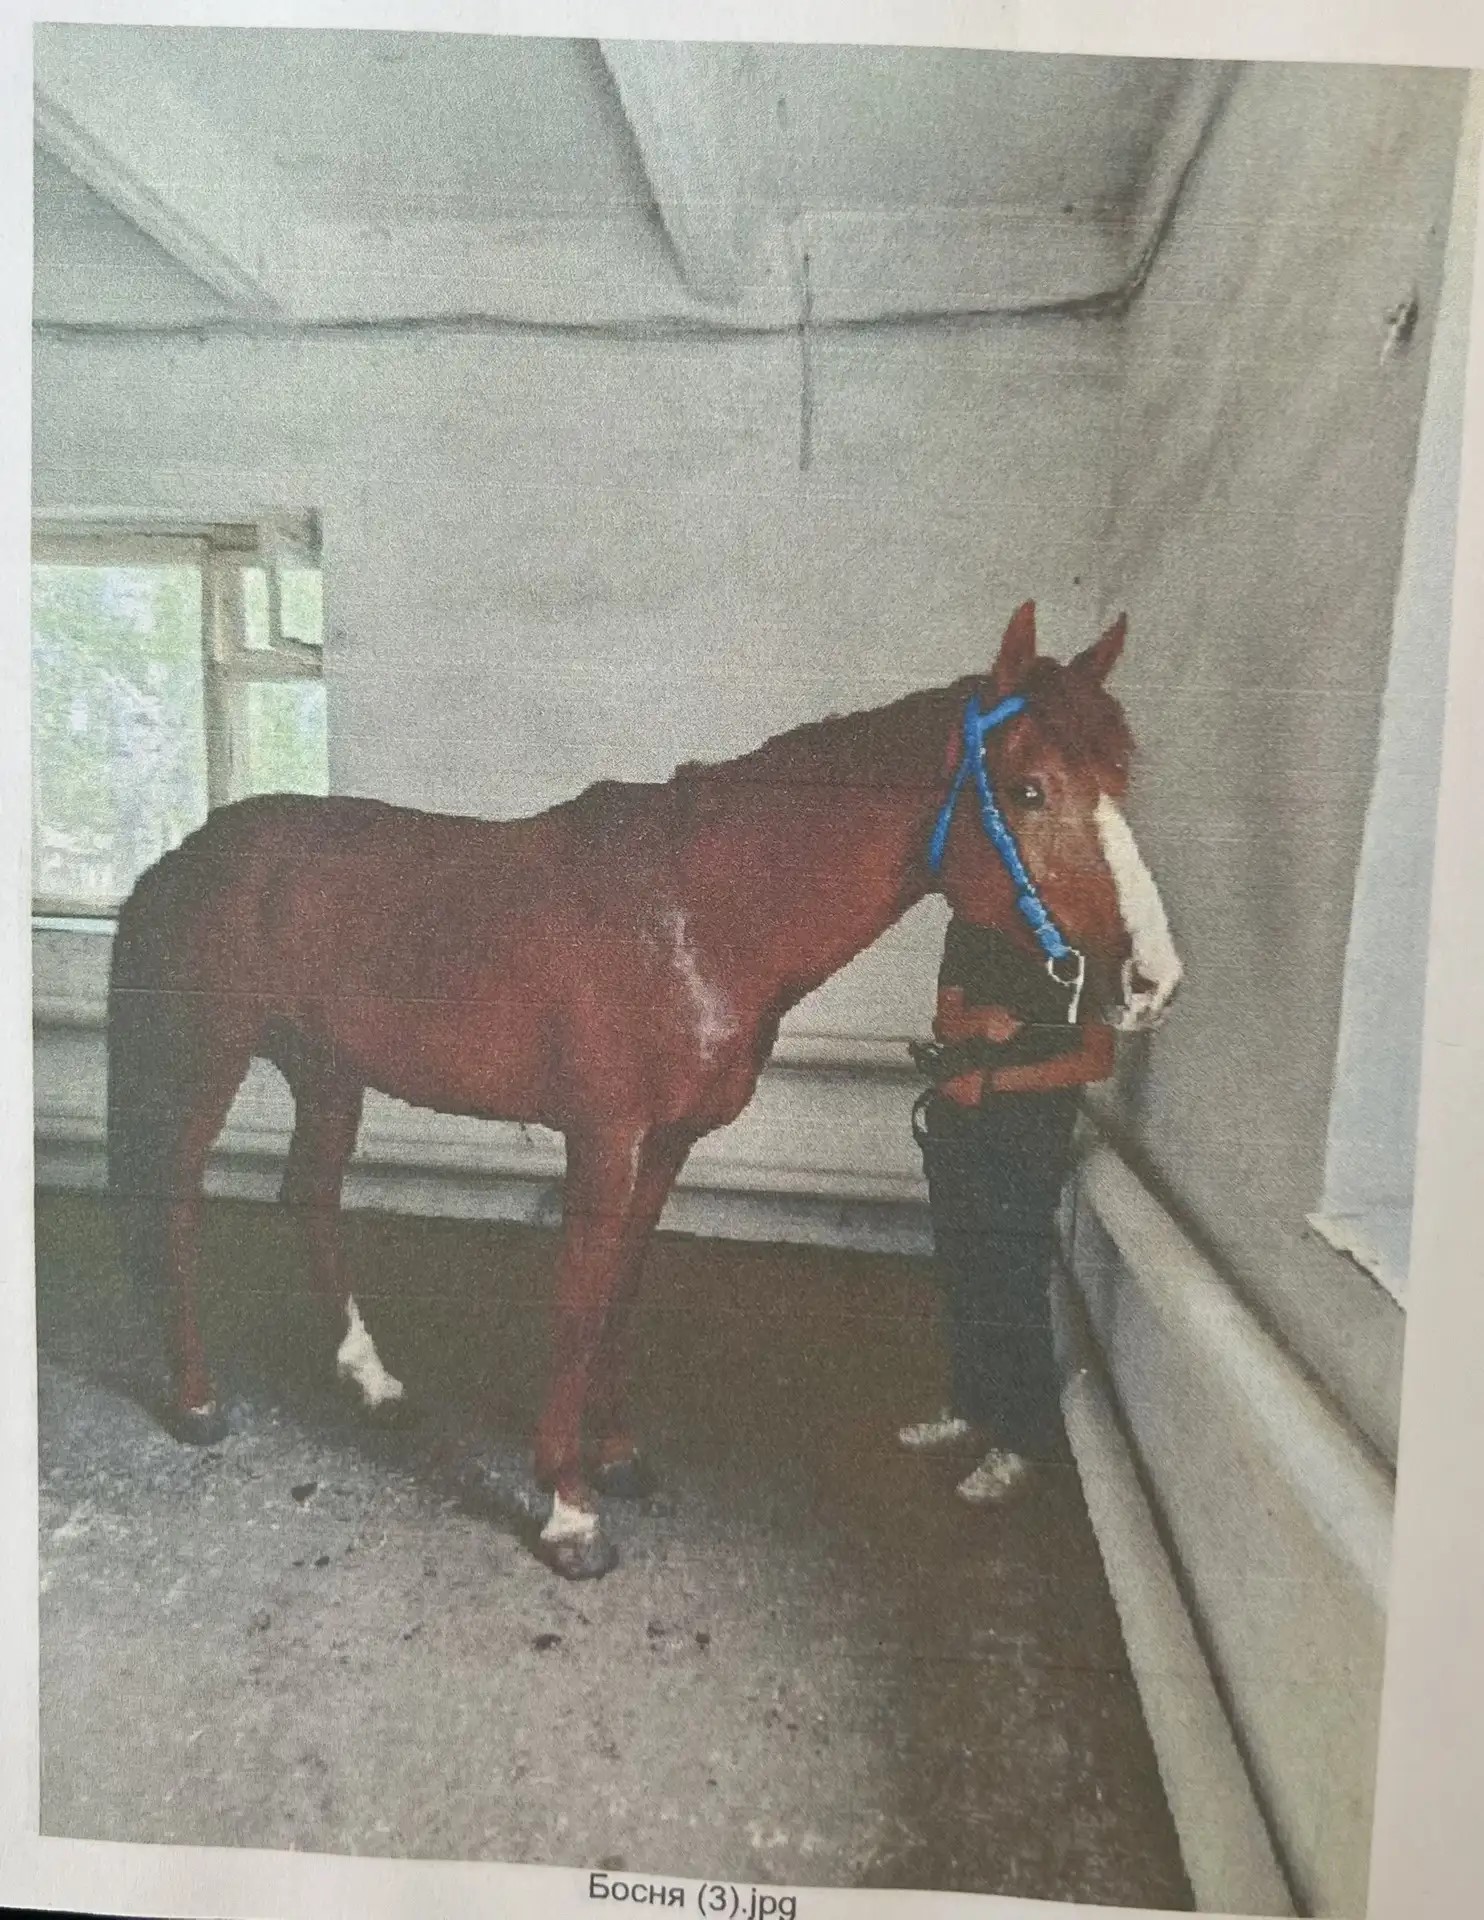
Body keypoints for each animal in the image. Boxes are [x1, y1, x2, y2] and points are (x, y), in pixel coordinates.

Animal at [105, 600, 1180, 1579]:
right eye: (1030, 789)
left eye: (1123, 777)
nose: (1151, 981)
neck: (696, 918)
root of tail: (182, 857)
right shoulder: (603, 1140)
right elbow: (579, 1305)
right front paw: (568, 1512)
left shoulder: (666, 1145)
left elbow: (621, 1294)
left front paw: (616, 1458)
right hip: (209, 1062)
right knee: (176, 1204)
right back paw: (196, 1399)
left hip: (330, 1072)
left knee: (311, 1198)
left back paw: (374, 1382)